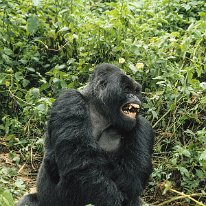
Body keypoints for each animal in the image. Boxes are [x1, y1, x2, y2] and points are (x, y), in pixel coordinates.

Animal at [17, 63, 154, 206]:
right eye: (127, 89)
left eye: (136, 91)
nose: (136, 98)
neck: (100, 109)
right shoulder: (70, 100)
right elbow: (82, 167)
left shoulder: (143, 125)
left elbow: (132, 176)